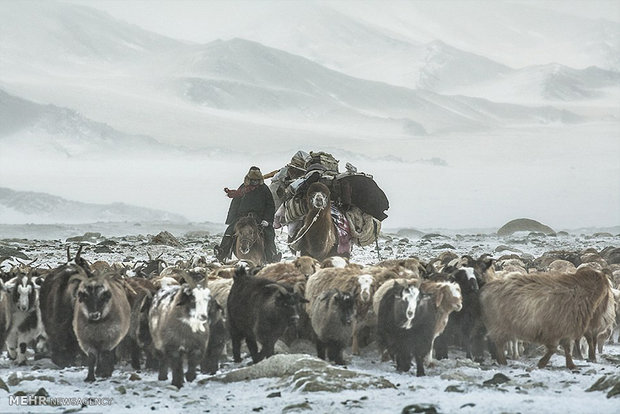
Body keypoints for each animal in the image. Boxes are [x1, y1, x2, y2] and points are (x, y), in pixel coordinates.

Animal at [480, 266, 612, 370]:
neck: (581, 292)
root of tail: (486, 289)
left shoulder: (565, 329)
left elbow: (567, 349)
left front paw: (571, 365)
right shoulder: (553, 330)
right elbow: (553, 348)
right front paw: (542, 363)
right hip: (499, 326)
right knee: (498, 344)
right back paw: (503, 361)